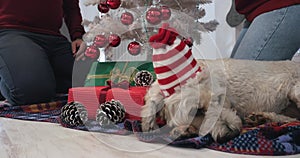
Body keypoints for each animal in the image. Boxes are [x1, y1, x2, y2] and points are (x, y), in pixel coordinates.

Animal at [142, 58, 300, 143]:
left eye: (219, 99)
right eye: (197, 111)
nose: (234, 131)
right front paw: (184, 130)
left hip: (295, 90)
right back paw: (260, 118)